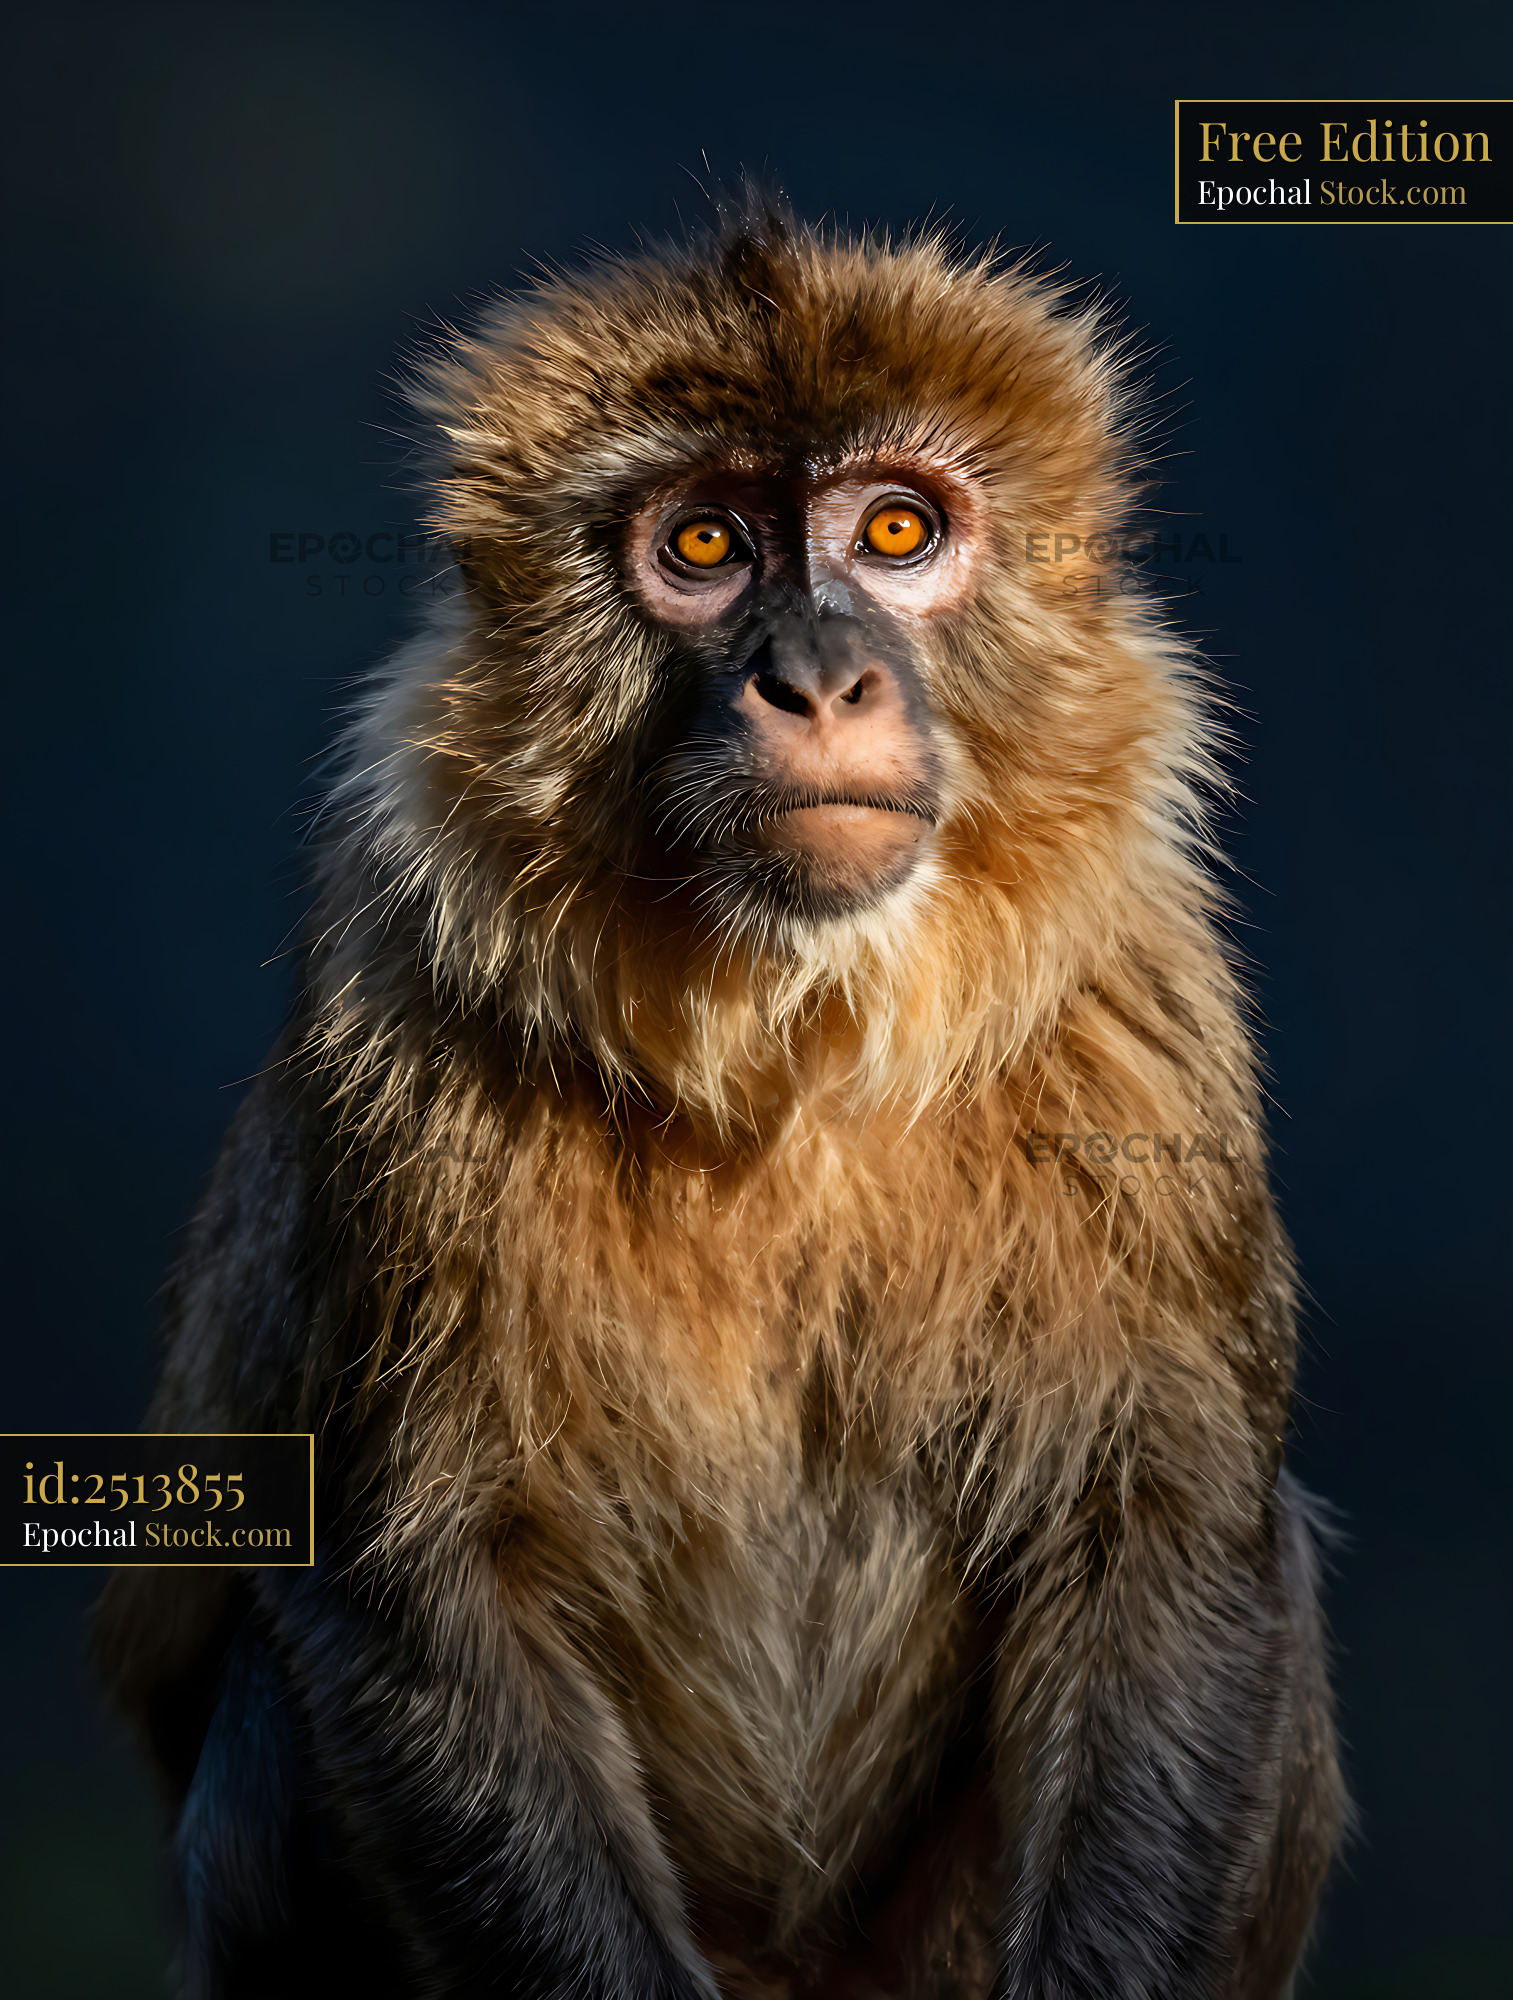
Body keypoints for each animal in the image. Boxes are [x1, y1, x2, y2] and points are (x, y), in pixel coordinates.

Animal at [95, 199, 1346, 2000]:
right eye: (702, 548)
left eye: (894, 530)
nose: (816, 677)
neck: (800, 1037)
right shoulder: (397, 1005)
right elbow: (401, 1601)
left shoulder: (1138, 1010)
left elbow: (1171, 1551)